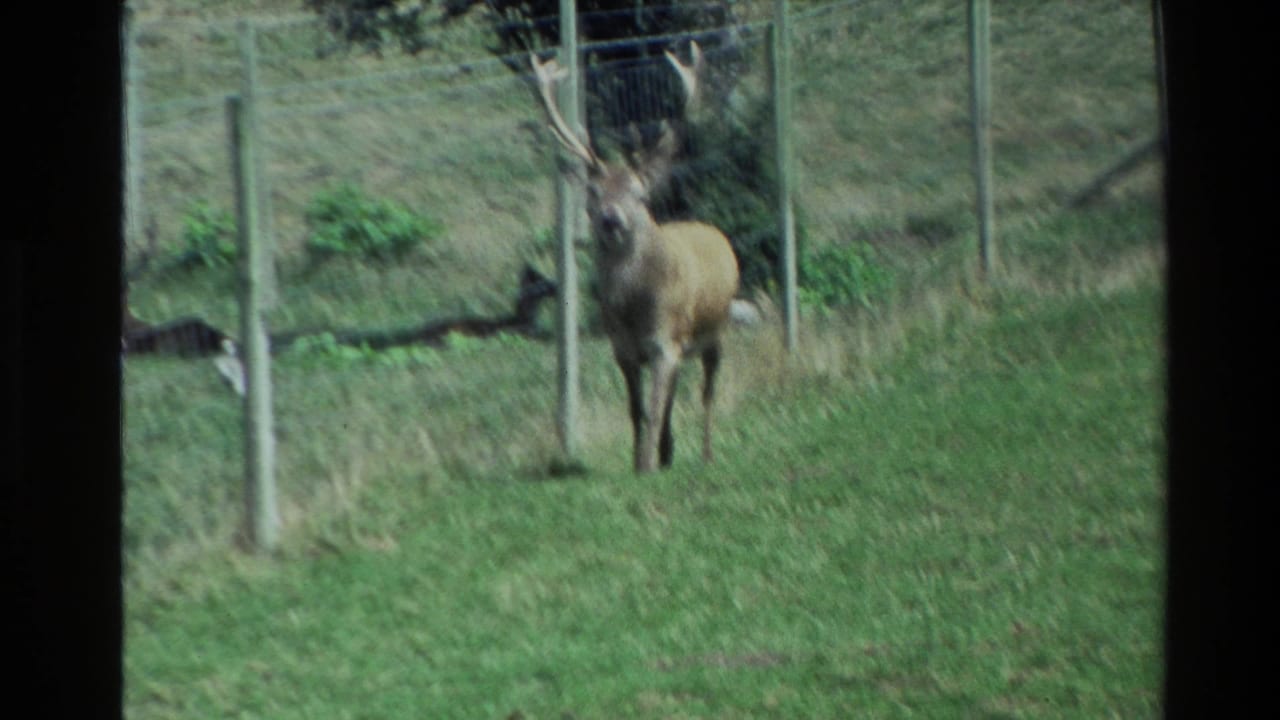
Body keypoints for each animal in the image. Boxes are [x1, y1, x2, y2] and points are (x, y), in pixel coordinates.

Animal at [531, 41, 741, 473]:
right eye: (593, 193)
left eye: (639, 195)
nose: (611, 219)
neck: (635, 306)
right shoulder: (624, 348)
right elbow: (638, 410)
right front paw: (641, 459)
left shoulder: (665, 340)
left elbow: (656, 408)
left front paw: (645, 466)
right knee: (676, 393)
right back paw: (668, 452)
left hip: (717, 328)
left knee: (707, 392)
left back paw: (707, 453)